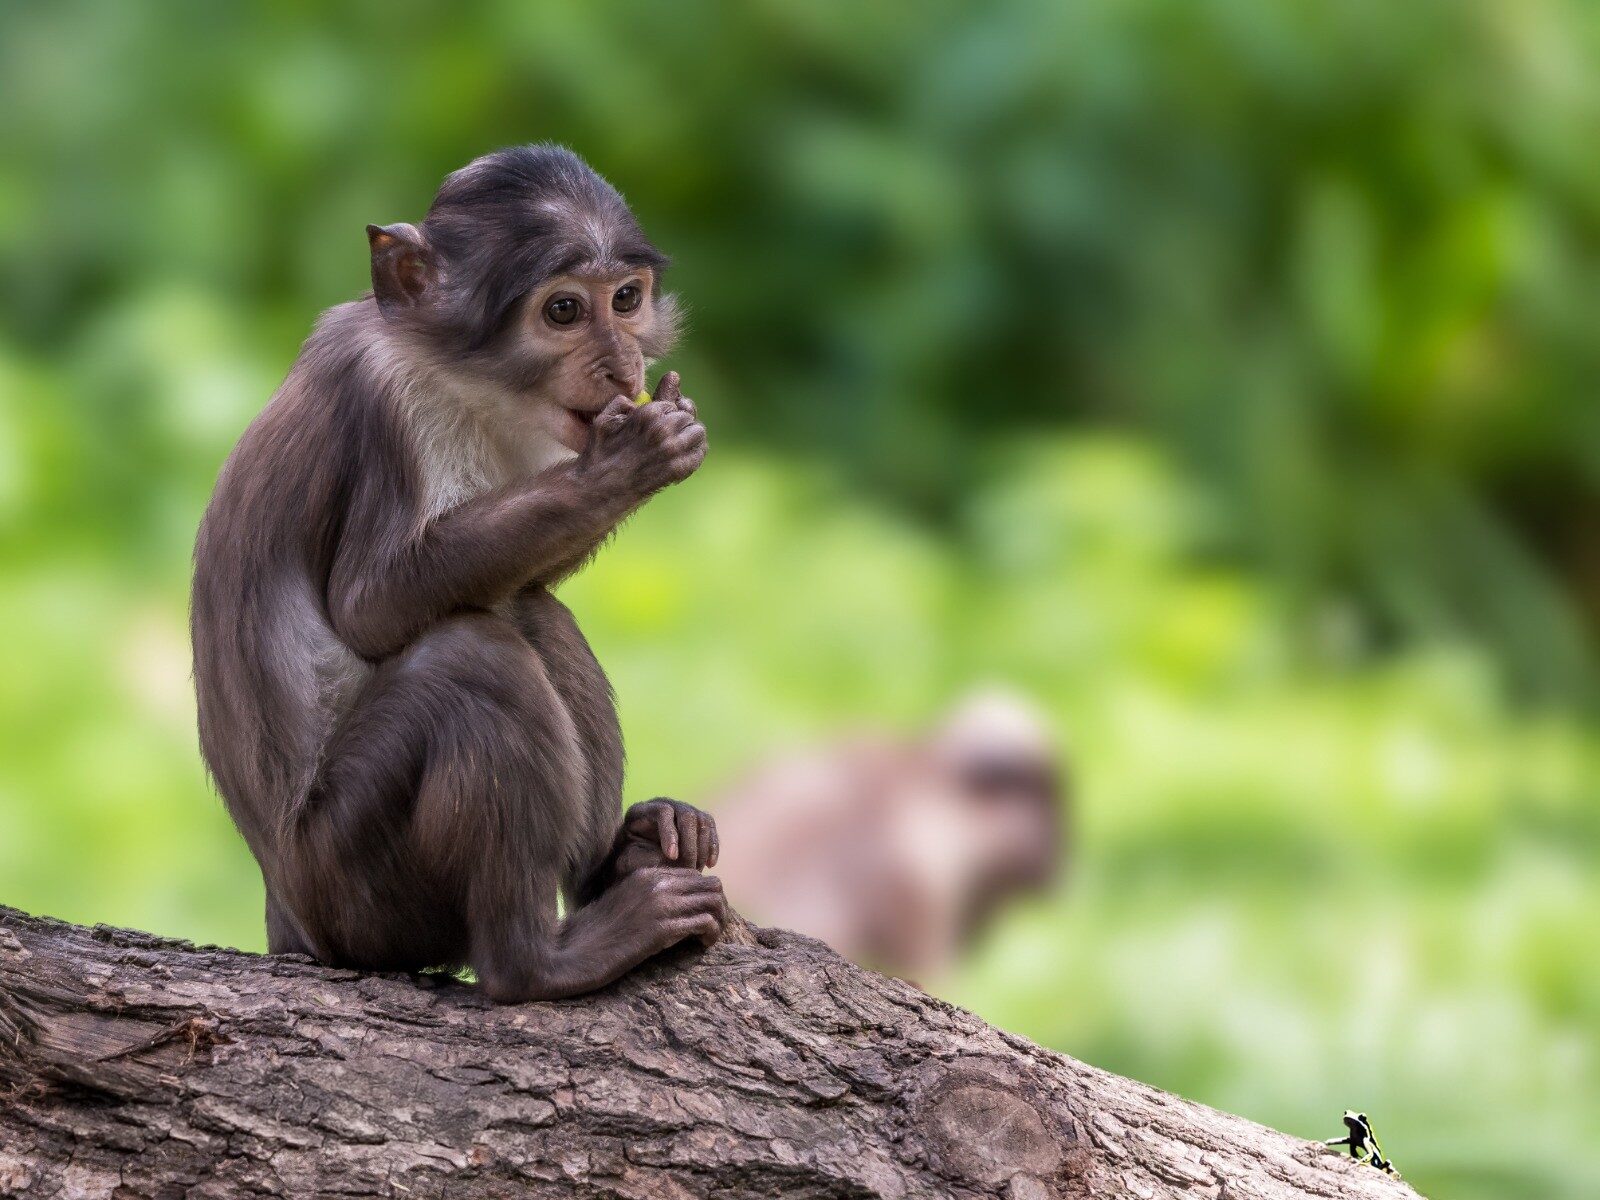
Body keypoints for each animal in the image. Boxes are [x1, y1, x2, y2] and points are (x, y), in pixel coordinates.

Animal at [190, 145, 728, 1002]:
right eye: (564, 311)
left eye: (626, 298)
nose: (623, 365)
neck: (466, 381)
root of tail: (288, 918)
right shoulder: (389, 401)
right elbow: (369, 605)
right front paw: (624, 465)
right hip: (356, 884)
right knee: (473, 660)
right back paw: (535, 960)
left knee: (531, 610)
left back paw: (623, 859)